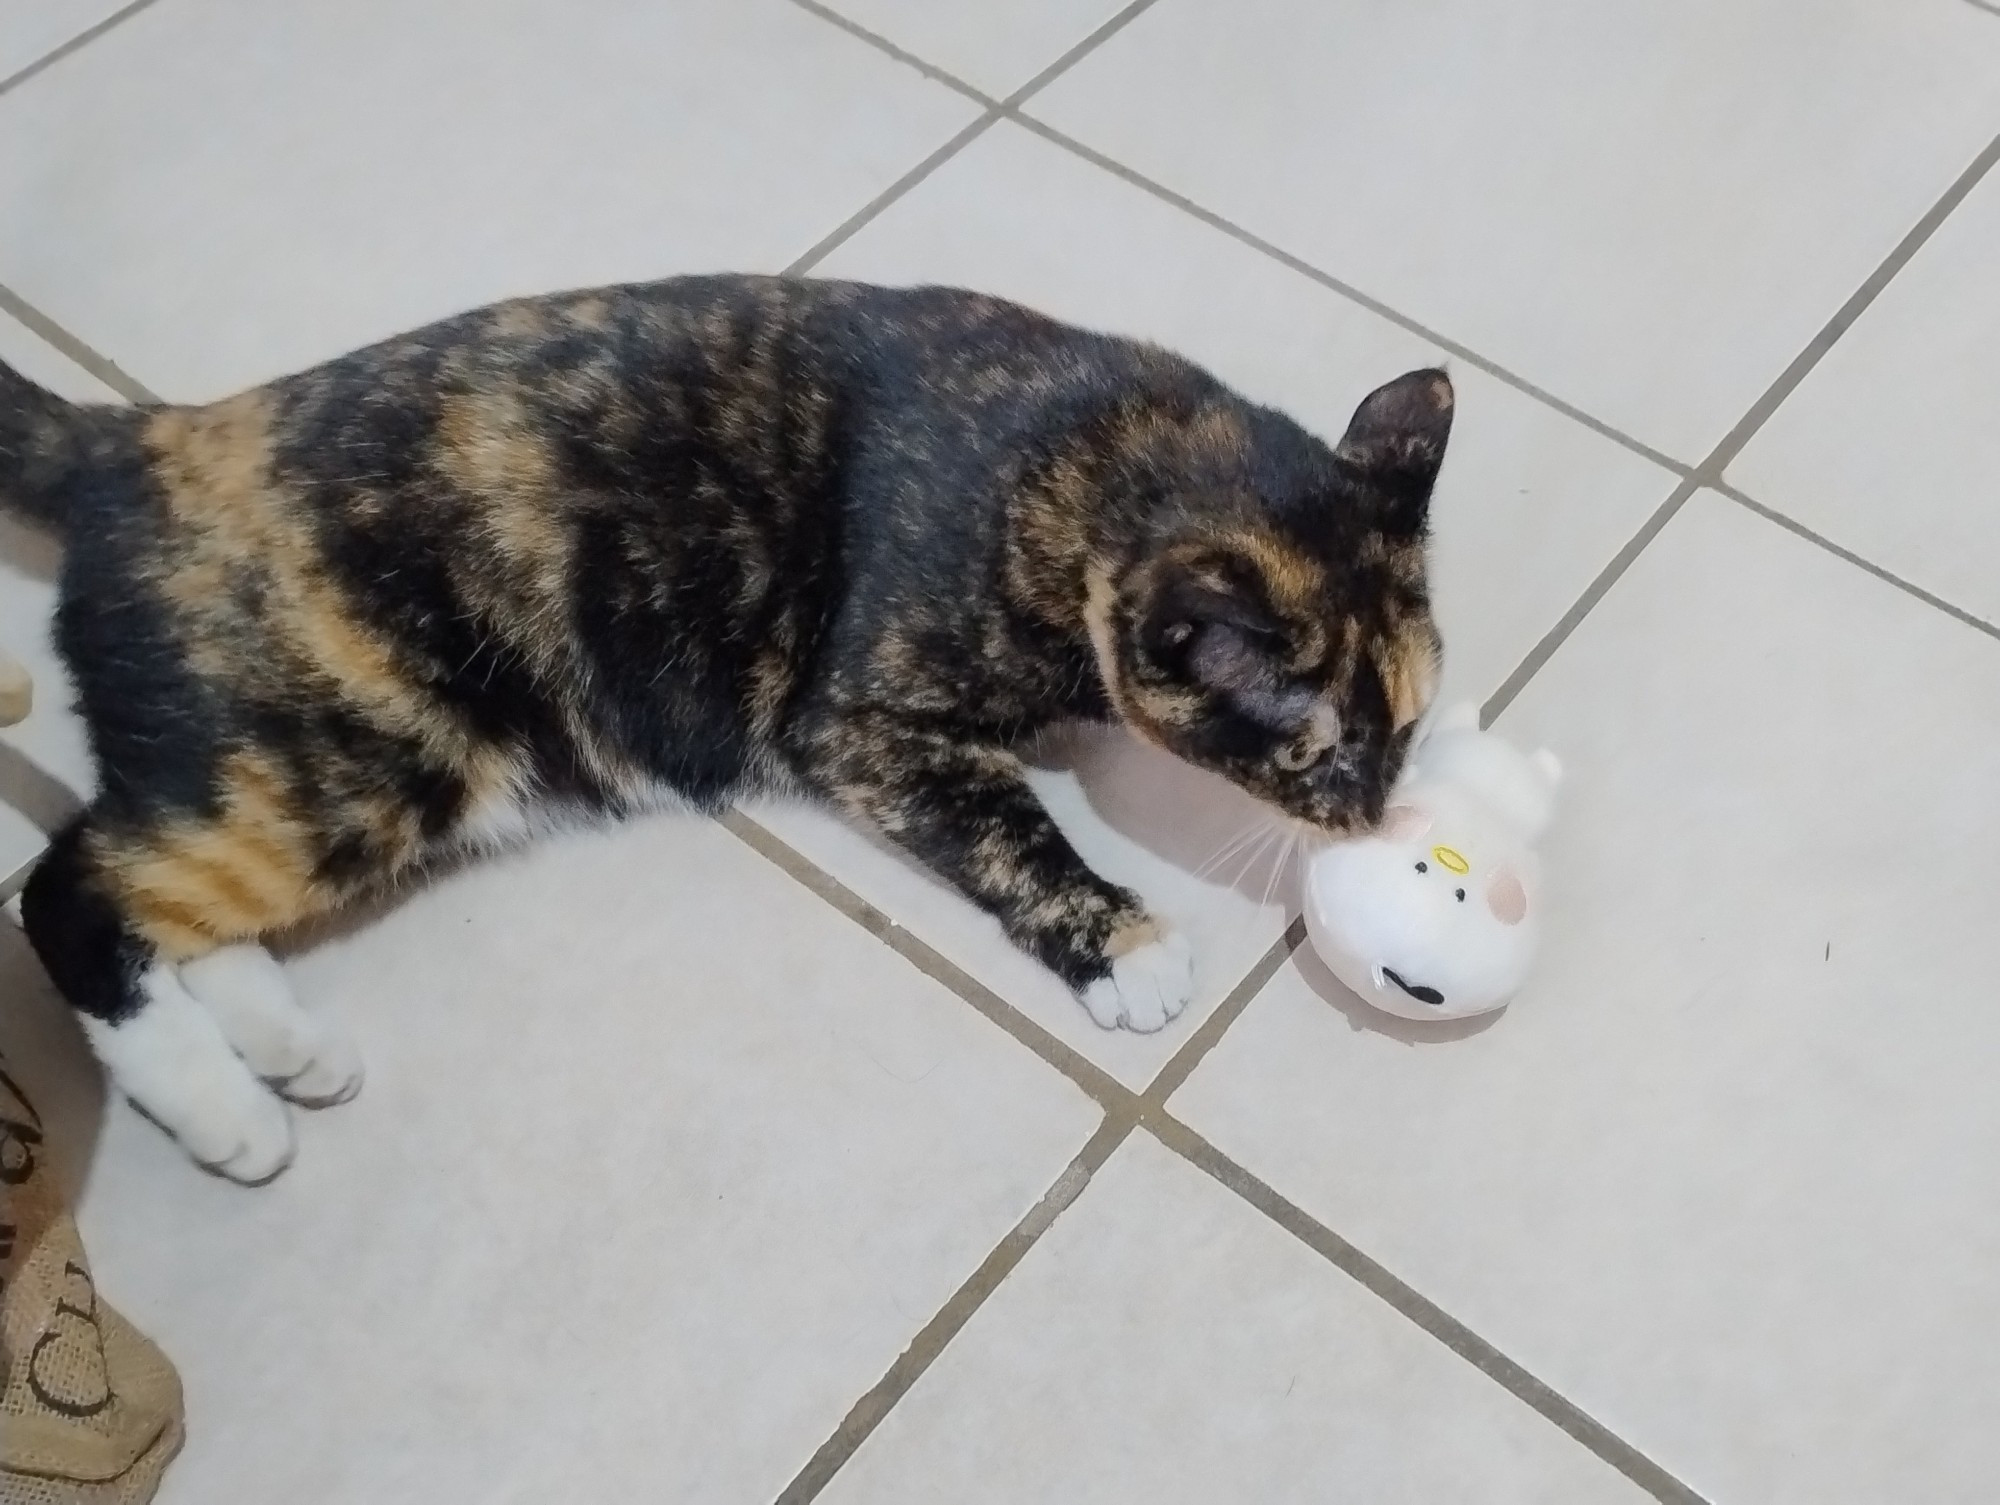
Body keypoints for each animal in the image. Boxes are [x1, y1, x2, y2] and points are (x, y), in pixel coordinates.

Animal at [0, 276, 1456, 1184]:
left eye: (1410, 721)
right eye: (1319, 748)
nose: (1374, 809)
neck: (1092, 457)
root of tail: (138, 441)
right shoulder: (855, 720)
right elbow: (1001, 821)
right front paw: (1122, 941)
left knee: (162, 887)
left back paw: (283, 1050)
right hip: (361, 754)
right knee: (71, 884)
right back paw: (222, 1111)